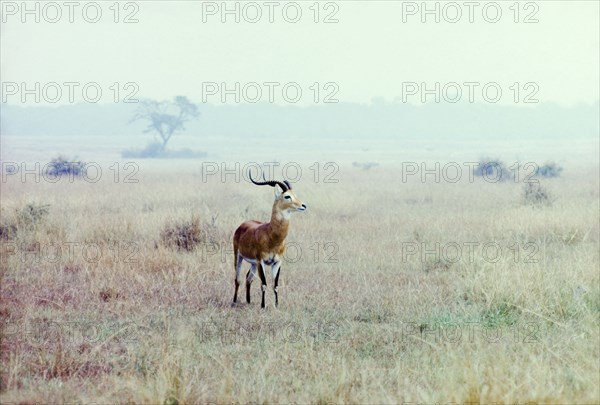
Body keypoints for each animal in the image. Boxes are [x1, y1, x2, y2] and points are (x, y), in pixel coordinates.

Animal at [232, 170, 308, 306]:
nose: (303, 205)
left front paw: (276, 305)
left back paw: (248, 302)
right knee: (237, 278)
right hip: (238, 257)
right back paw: (234, 301)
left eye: (295, 194)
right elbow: (264, 284)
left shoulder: (277, 262)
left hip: (253, 264)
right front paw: (263, 306)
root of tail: (243, 225)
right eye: (287, 196)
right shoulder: (261, 261)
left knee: (248, 278)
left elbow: (275, 285)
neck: (271, 237)